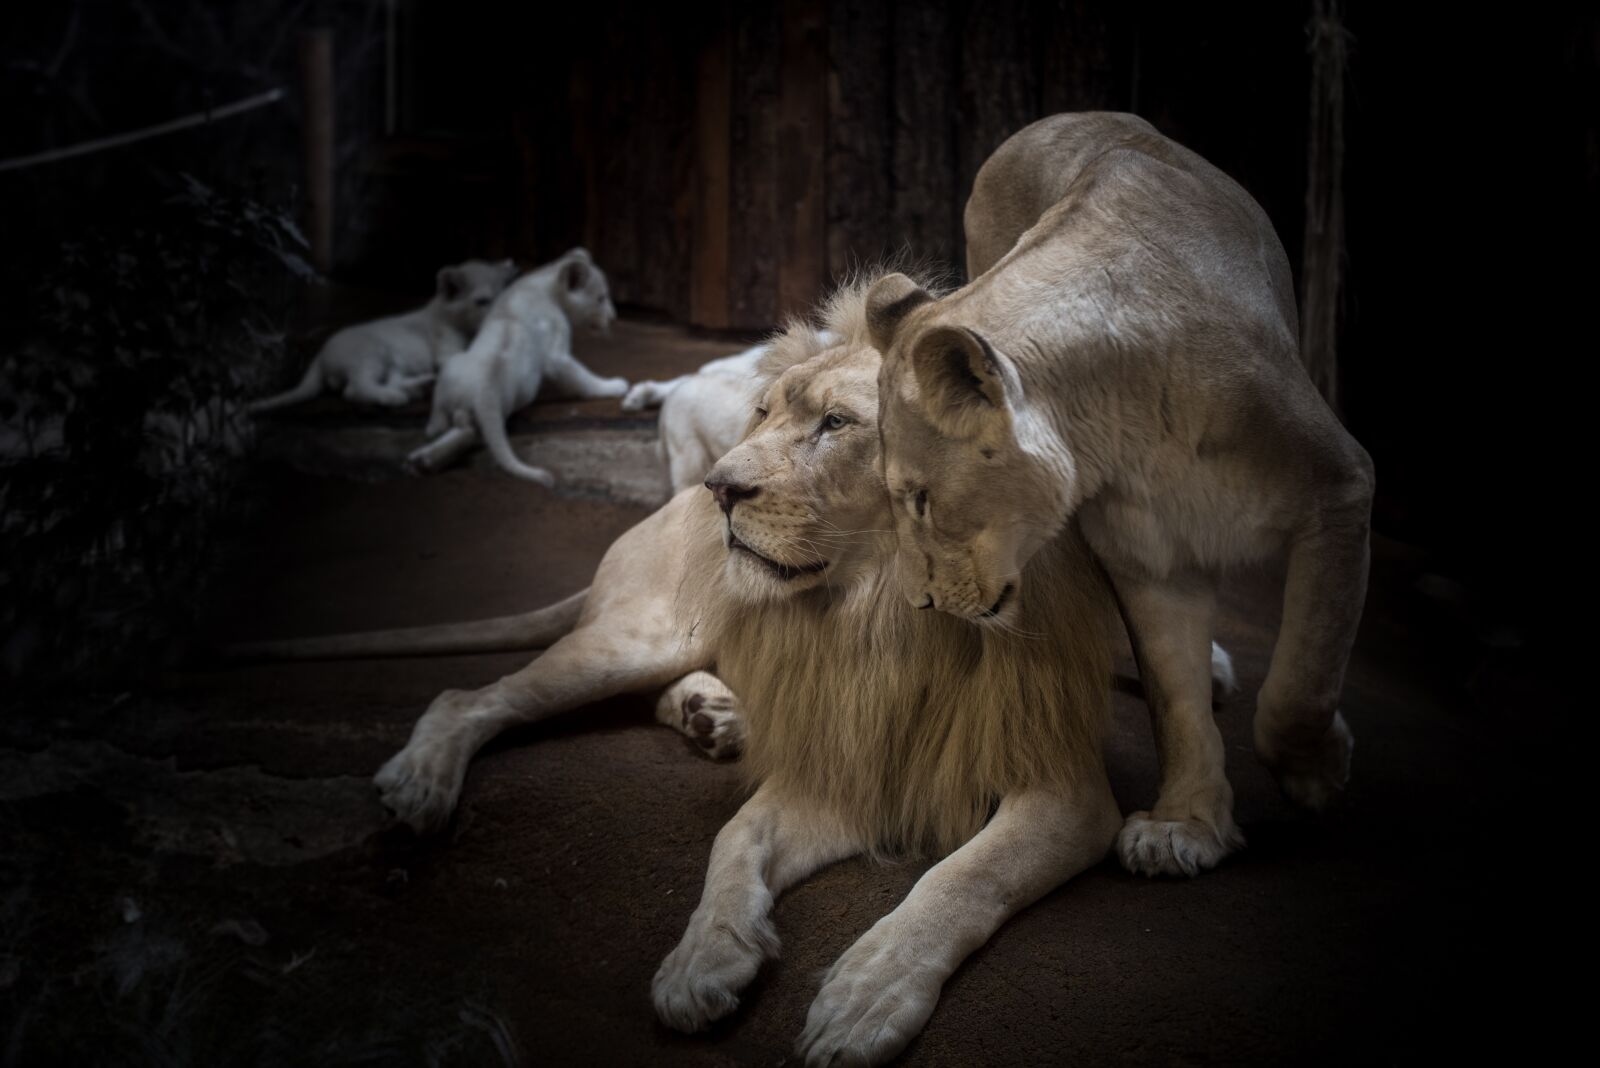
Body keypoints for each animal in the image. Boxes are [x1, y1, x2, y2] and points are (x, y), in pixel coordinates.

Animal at [249, 258, 516, 412]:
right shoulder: (446, 350)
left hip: (392, 364)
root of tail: (321, 355)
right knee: (354, 389)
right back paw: (393, 397)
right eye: (482, 302)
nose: (504, 314)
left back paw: (419, 387)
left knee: (385, 381)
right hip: (371, 355)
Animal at [407, 247, 628, 485]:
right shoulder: (556, 353)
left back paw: (423, 457)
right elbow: (582, 378)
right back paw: (426, 460)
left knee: (441, 425)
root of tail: (485, 390)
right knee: (467, 432)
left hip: (451, 372)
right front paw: (613, 386)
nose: (613, 317)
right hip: (517, 397)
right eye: (601, 298)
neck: (541, 281)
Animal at [866, 112, 1375, 879]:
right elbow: (1176, 698)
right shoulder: (1148, 557)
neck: (1124, 422)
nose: (919, 604)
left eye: (921, 499)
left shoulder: (1338, 488)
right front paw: (1185, 824)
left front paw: (1317, 768)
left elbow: (1301, 675)